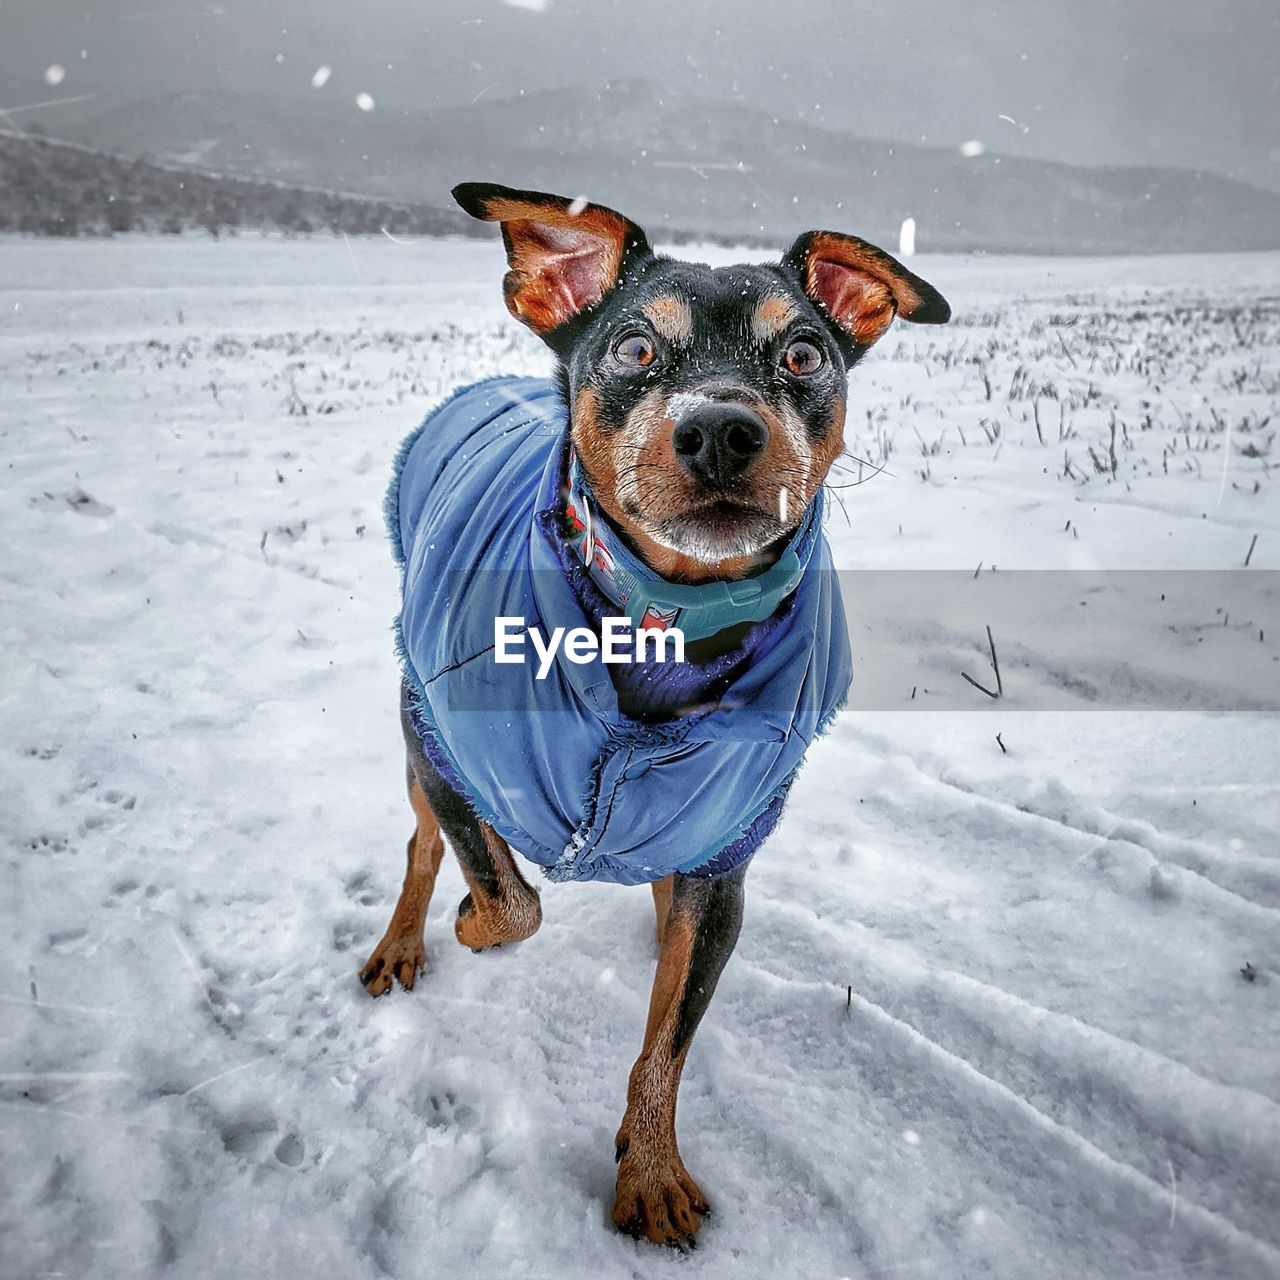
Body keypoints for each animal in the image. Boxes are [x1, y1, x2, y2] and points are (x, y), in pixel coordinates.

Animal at [360, 185, 952, 1244]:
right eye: (635, 347)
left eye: (804, 354)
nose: (720, 429)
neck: (668, 620)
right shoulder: (438, 733)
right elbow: (509, 901)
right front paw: (470, 916)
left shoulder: (725, 852)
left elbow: (670, 1036)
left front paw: (651, 1171)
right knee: (423, 844)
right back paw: (402, 942)